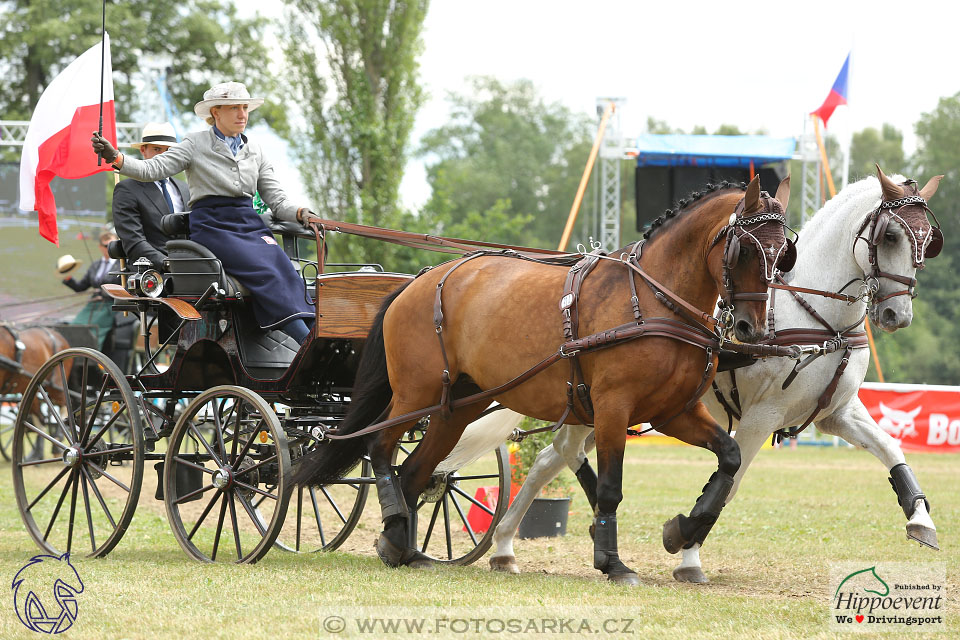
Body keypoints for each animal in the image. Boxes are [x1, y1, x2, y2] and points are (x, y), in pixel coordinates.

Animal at [296, 175, 792, 584]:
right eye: (744, 249)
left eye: (782, 254)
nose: (751, 329)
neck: (654, 299)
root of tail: (416, 282)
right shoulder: (613, 408)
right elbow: (610, 487)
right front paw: (612, 563)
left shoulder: (674, 412)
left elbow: (729, 459)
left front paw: (681, 531)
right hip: (415, 394)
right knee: (380, 447)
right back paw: (397, 533)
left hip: (457, 406)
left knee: (417, 470)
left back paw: (404, 547)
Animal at [488, 168, 944, 584]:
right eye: (890, 237)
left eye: (926, 243)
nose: (896, 315)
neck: (817, 318)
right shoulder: (762, 417)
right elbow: (731, 483)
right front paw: (686, 550)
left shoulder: (837, 413)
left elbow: (891, 448)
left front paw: (921, 520)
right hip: (602, 403)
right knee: (559, 452)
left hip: (596, 405)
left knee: (550, 458)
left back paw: (506, 544)